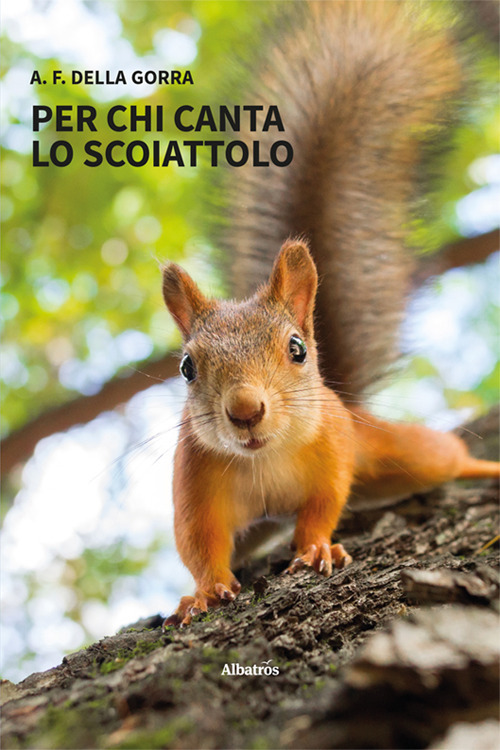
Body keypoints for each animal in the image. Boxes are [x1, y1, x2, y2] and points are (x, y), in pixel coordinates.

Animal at [161, 1, 500, 627]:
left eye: (297, 349)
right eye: (187, 368)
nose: (245, 411)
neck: (265, 460)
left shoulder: (332, 453)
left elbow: (323, 505)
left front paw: (317, 547)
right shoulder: (194, 481)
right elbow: (198, 543)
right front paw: (201, 592)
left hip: (395, 450)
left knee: (445, 458)